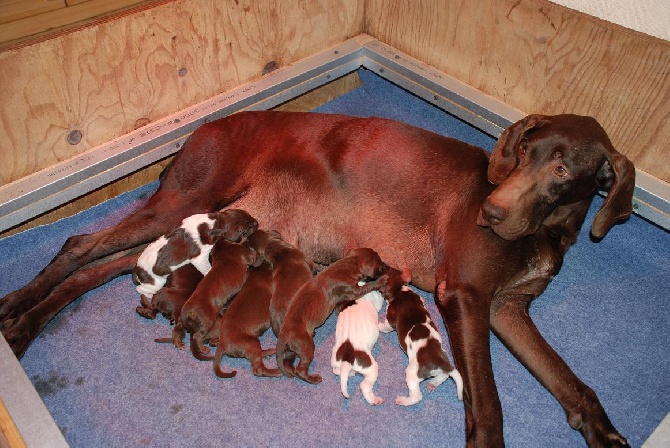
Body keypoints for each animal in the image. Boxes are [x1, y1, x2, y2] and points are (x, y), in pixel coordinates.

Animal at [274, 247, 388, 384]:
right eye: (380, 265)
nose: (387, 267)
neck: (348, 264)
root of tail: (283, 335)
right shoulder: (353, 290)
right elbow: (368, 286)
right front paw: (382, 280)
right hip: (305, 346)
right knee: (300, 370)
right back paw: (314, 378)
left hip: (293, 350)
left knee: (288, 363)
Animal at [380, 268, 464, 408]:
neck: (400, 289)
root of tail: (437, 360)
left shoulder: (390, 318)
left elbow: (385, 326)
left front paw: (378, 324)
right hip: (444, 357)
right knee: (445, 375)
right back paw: (433, 384)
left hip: (412, 372)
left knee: (417, 396)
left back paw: (403, 400)